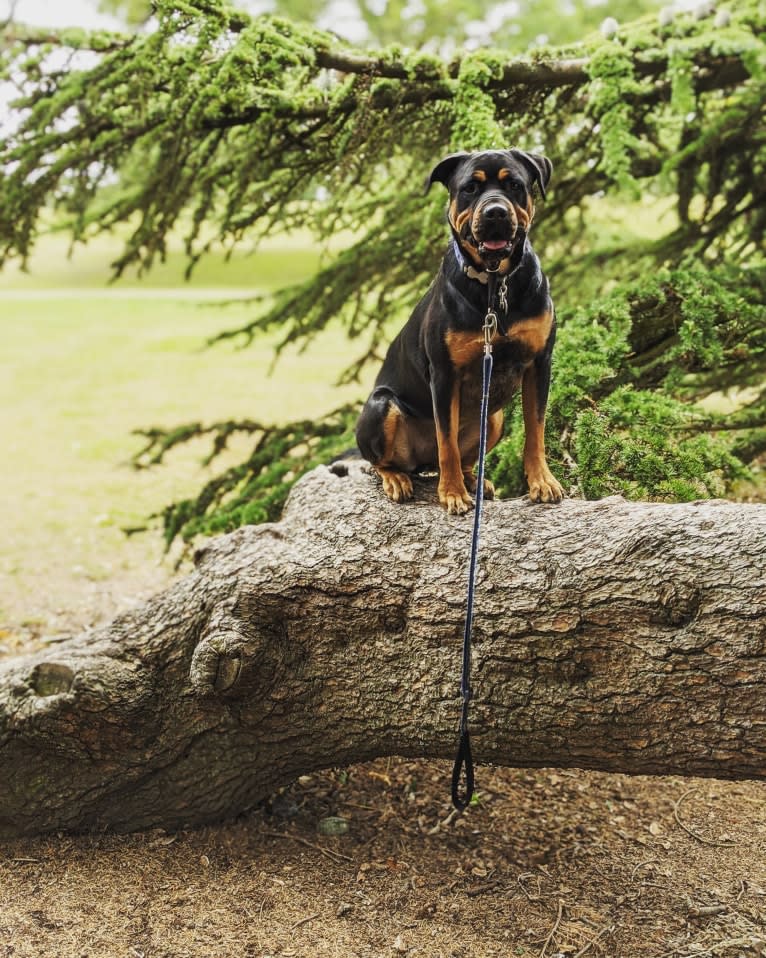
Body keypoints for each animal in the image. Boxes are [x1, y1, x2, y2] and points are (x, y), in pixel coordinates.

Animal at [356, 148, 568, 516]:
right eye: (470, 187)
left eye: (515, 185)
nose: (495, 211)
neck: (495, 286)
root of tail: (421, 463)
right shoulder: (444, 374)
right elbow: (447, 441)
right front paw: (452, 494)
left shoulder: (540, 363)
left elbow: (535, 430)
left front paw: (542, 482)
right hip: (381, 406)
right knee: (383, 461)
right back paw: (398, 478)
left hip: (494, 418)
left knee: (469, 456)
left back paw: (474, 481)